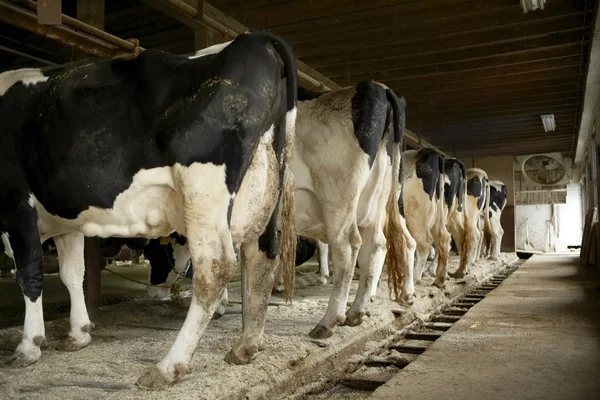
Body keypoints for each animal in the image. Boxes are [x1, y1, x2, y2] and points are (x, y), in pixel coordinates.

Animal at [0, 32, 298, 390]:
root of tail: (256, 37)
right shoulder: (67, 220)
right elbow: (73, 273)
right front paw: (78, 333)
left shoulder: (15, 203)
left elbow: (30, 273)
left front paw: (28, 346)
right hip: (267, 187)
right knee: (261, 257)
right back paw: (246, 347)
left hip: (203, 186)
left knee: (216, 266)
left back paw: (169, 366)